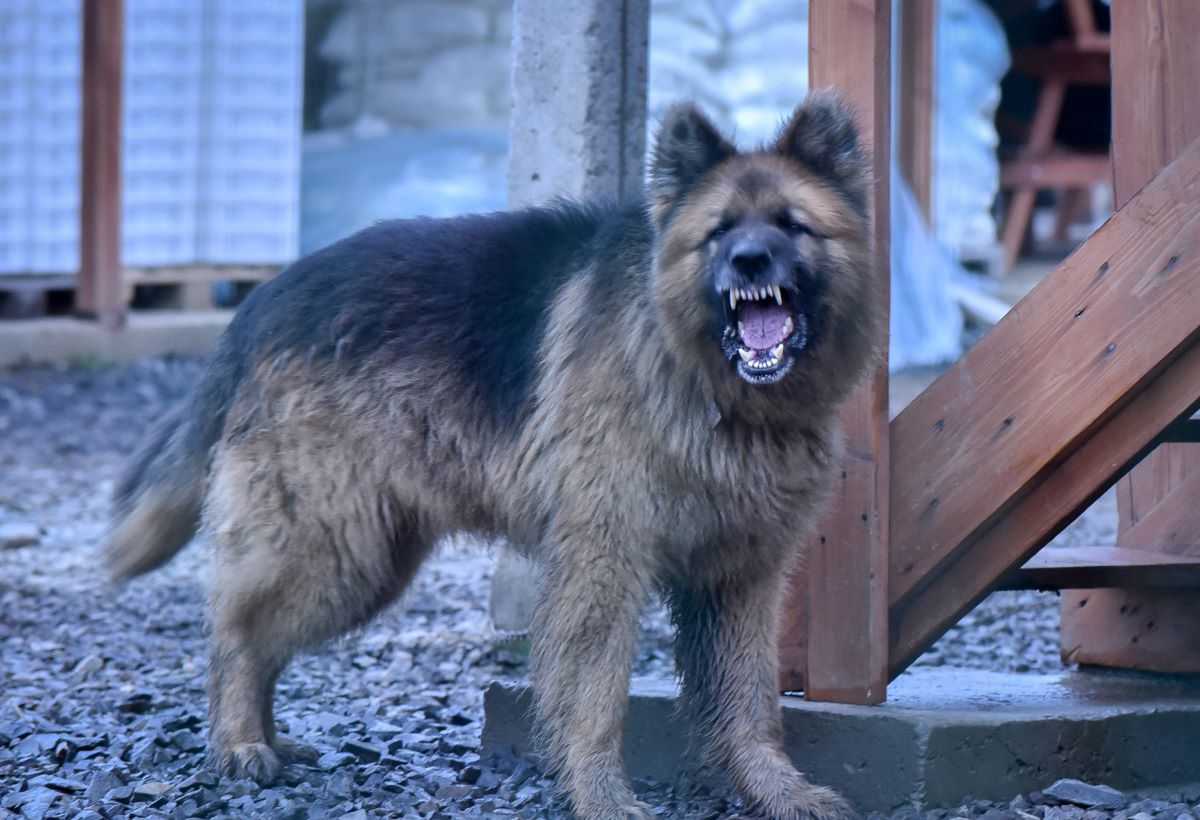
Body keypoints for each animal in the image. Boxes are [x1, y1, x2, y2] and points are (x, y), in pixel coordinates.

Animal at [108, 93, 878, 820]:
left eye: (790, 225)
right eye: (720, 231)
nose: (749, 261)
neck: (706, 384)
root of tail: (261, 301)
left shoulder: (741, 578)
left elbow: (751, 701)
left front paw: (775, 789)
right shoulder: (603, 564)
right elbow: (597, 694)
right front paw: (600, 796)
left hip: (368, 561)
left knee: (256, 634)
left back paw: (267, 739)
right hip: (332, 553)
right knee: (236, 633)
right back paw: (239, 742)